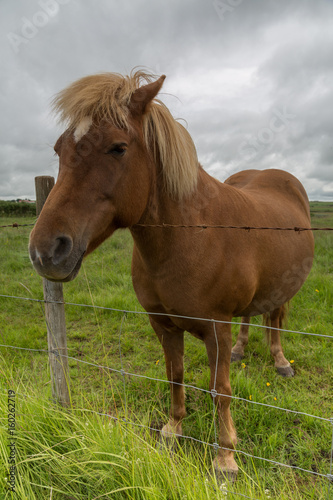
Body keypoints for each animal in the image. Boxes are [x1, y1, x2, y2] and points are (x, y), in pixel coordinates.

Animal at [29, 70, 314, 480]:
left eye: (118, 148)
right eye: (58, 150)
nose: (46, 251)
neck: (191, 235)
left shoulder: (217, 328)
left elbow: (220, 389)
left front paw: (225, 458)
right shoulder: (163, 324)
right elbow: (175, 375)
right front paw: (173, 428)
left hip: (284, 288)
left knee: (275, 320)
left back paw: (280, 362)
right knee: (251, 317)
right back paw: (243, 350)